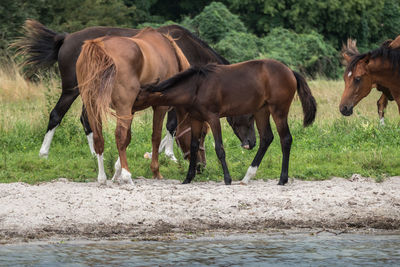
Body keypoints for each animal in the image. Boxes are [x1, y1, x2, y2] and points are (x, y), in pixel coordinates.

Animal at [14, 19, 256, 163]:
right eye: (249, 114)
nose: (251, 143)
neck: (184, 50)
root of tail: (66, 38)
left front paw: (159, 151)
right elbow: (171, 125)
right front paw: (169, 155)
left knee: (86, 119)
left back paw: (95, 153)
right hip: (72, 90)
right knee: (57, 115)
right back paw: (44, 153)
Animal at [136, 60, 318, 186]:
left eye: (138, 97)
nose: (129, 107)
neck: (196, 87)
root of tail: (290, 72)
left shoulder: (213, 117)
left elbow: (219, 148)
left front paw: (227, 179)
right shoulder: (196, 119)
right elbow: (194, 147)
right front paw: (188, 178)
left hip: (278, 111)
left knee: (285, 139)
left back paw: (282, 179)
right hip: (262, 111)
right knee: (266, 138)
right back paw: (247, 177)